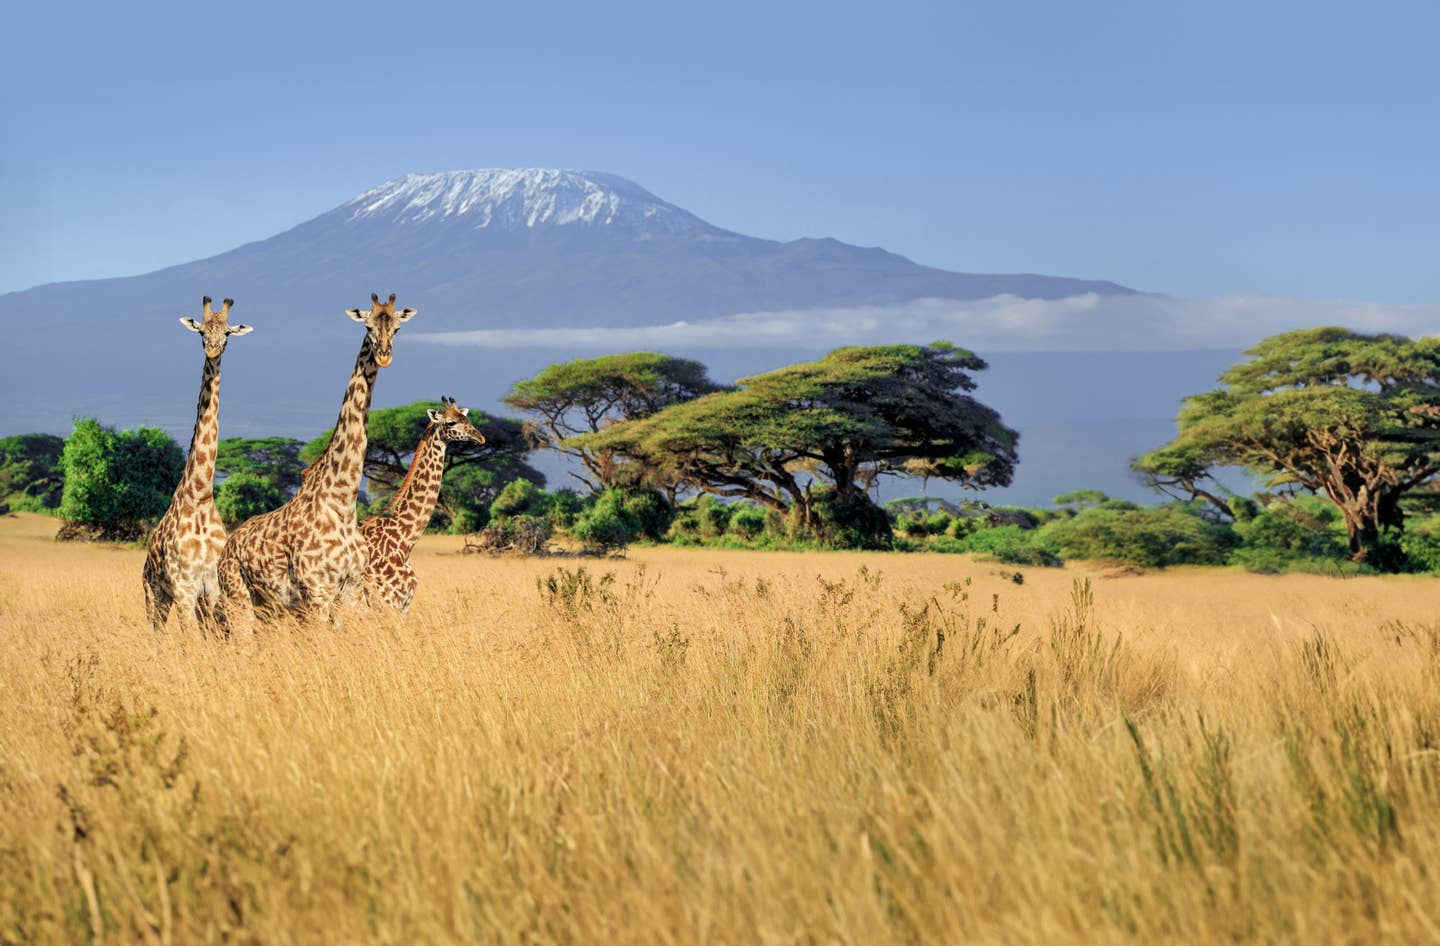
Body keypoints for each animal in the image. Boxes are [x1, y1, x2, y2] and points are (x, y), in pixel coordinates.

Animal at [141, 299, 252, 630]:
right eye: (202, 332)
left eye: (227, 333)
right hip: (154, 593)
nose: (213, 351)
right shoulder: (184, 588)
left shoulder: (212, 587)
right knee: (154, 632)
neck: (200, 495)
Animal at [214, 289, 417, 627]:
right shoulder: (317, 591)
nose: (384, 355)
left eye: (398, 328)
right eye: (368, 326)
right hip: (238, 597)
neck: (342, 502)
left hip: (269, 606)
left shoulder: (351, 590)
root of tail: (228, 546)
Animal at [362, 391, 486, 607]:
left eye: (466, 419)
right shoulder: (388, 601)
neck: (404, 540)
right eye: (451, 422)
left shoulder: (404, 604)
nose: (481, 438)